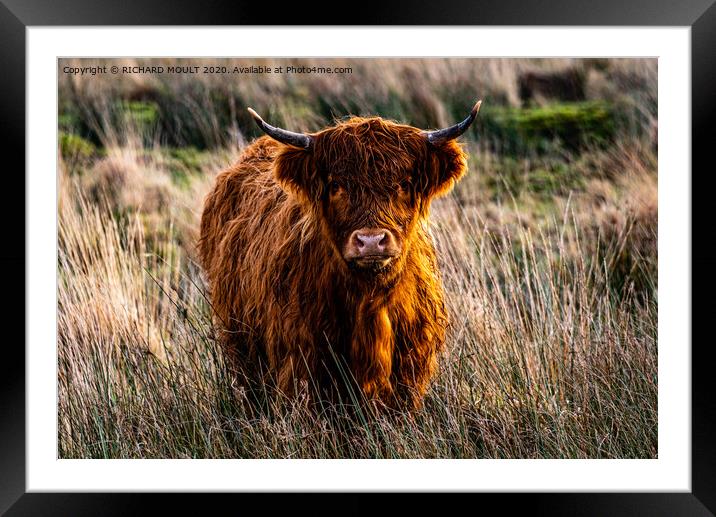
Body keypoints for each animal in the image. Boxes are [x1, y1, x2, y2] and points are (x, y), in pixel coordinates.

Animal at [199, 100, 484, 408]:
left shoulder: (410, 368)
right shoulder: (301, 365)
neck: (368, 302)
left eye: (404, 184)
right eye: (336, 185)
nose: (371, 241)